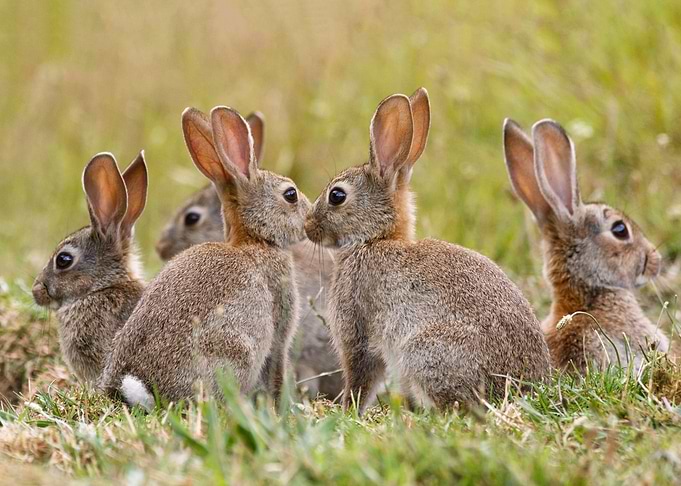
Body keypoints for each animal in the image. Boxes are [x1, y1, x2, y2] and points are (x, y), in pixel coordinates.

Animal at [98, 106, 311, 408]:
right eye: (290, 195)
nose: (310, 216)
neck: (255, 240)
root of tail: (139, 386)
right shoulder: (278, 331)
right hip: (235, 351)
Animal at [304, 88, 551, 413]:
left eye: (337, 196)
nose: (307, 226)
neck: (375, 239)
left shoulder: (357, 328)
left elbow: (361, 376)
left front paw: (348, 410)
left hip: (423, 351)